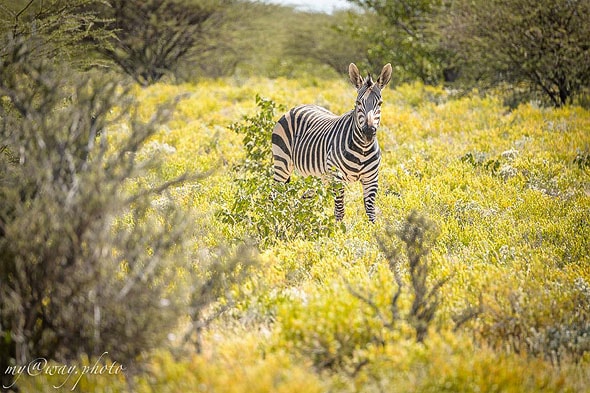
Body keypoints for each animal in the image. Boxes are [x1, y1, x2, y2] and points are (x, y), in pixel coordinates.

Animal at [272, 64, 394, 222]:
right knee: (275, 194)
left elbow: (371, 212)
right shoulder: (337, 178)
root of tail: (297, 107)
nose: (368, 132)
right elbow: (340, 211)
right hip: (282, 163)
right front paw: (338, 229)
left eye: (380, 103)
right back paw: (274, 219)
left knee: (304, 198)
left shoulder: (371, 179)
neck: (362, 149)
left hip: (316, 176)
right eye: (358, 103)